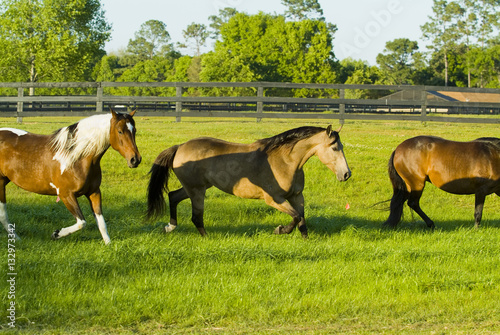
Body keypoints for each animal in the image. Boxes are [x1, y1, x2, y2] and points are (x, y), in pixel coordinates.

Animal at [0, 110, 142, 244]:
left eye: (134, 130)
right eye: (120, 131)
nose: (135, 159)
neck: (76, 157)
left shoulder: (94, 192)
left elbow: (101, 223)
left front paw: (109, 245)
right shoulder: (66, 194)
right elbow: (82, 222)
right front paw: (56, 234)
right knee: (3, 214)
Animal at [147, 126, 352, 239]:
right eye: (334, 148)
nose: (346, 174)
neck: (285, 161)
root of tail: (179, 147)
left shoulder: (296, 196)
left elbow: (301, 219)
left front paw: (306, 241)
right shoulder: (274, 199)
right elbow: (295, 217)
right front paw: (279, 230)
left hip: (195, 188)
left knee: (173, 196)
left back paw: (170, 227)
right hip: (197, 191)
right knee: (196, 217)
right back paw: (207, 238)